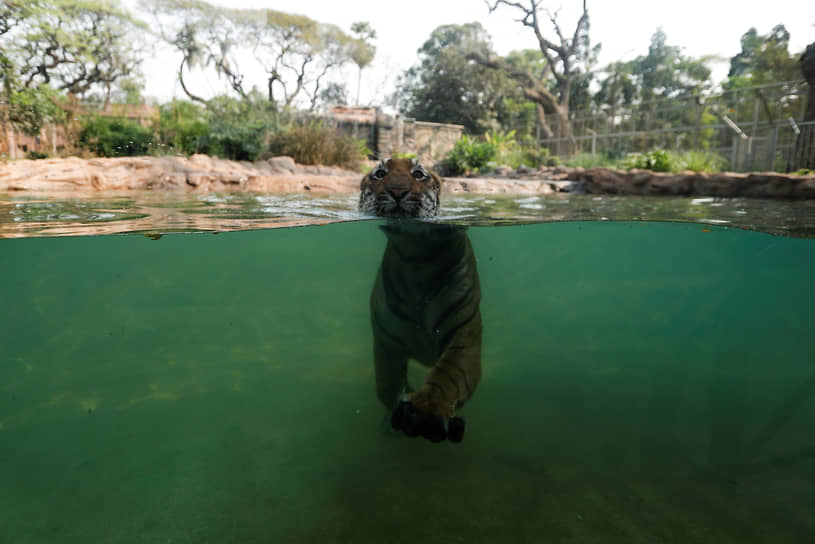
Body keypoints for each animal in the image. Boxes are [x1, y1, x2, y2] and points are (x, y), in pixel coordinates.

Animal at [360, 157, 482, 442]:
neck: (419, 261)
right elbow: (387, 383)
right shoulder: (386, 340)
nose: (397, 191)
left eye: (418, 174)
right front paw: (397, 412)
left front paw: (428, 408)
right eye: (379, 173)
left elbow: (449, 373)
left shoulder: (465, 334)